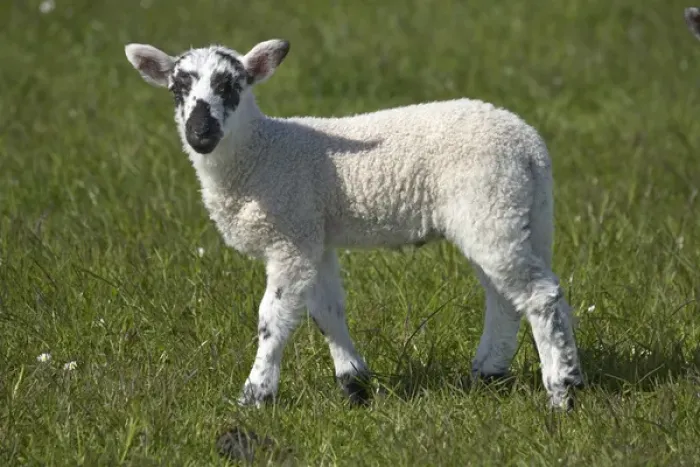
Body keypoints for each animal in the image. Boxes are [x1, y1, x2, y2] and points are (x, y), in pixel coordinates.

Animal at [124, 38, 584, 411]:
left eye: (231, 86)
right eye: (178, 90)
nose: (199, 133)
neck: (260, 153)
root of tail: (530, 146)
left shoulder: (290, 237)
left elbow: (272, 318)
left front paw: (255, 396)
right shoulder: (314, 236)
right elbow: (327, 312)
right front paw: (354, 386)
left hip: (490, 207)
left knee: (538, 295)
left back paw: (561, 392)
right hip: (516, 213)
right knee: (509, 296)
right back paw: (494, 373)